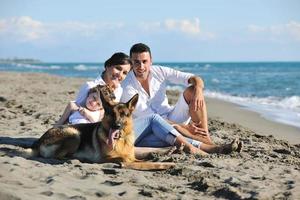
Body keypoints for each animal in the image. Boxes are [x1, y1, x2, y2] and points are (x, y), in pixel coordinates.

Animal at [27, 85, 176, 170]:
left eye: (124, 114)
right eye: (111, 114)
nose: (116, 125)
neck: (120, 140)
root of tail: (39, 141)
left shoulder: (132, 156)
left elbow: (140, 160)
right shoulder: (106, 158)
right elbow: (126, 160)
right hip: (74, 134)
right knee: (58, 156)